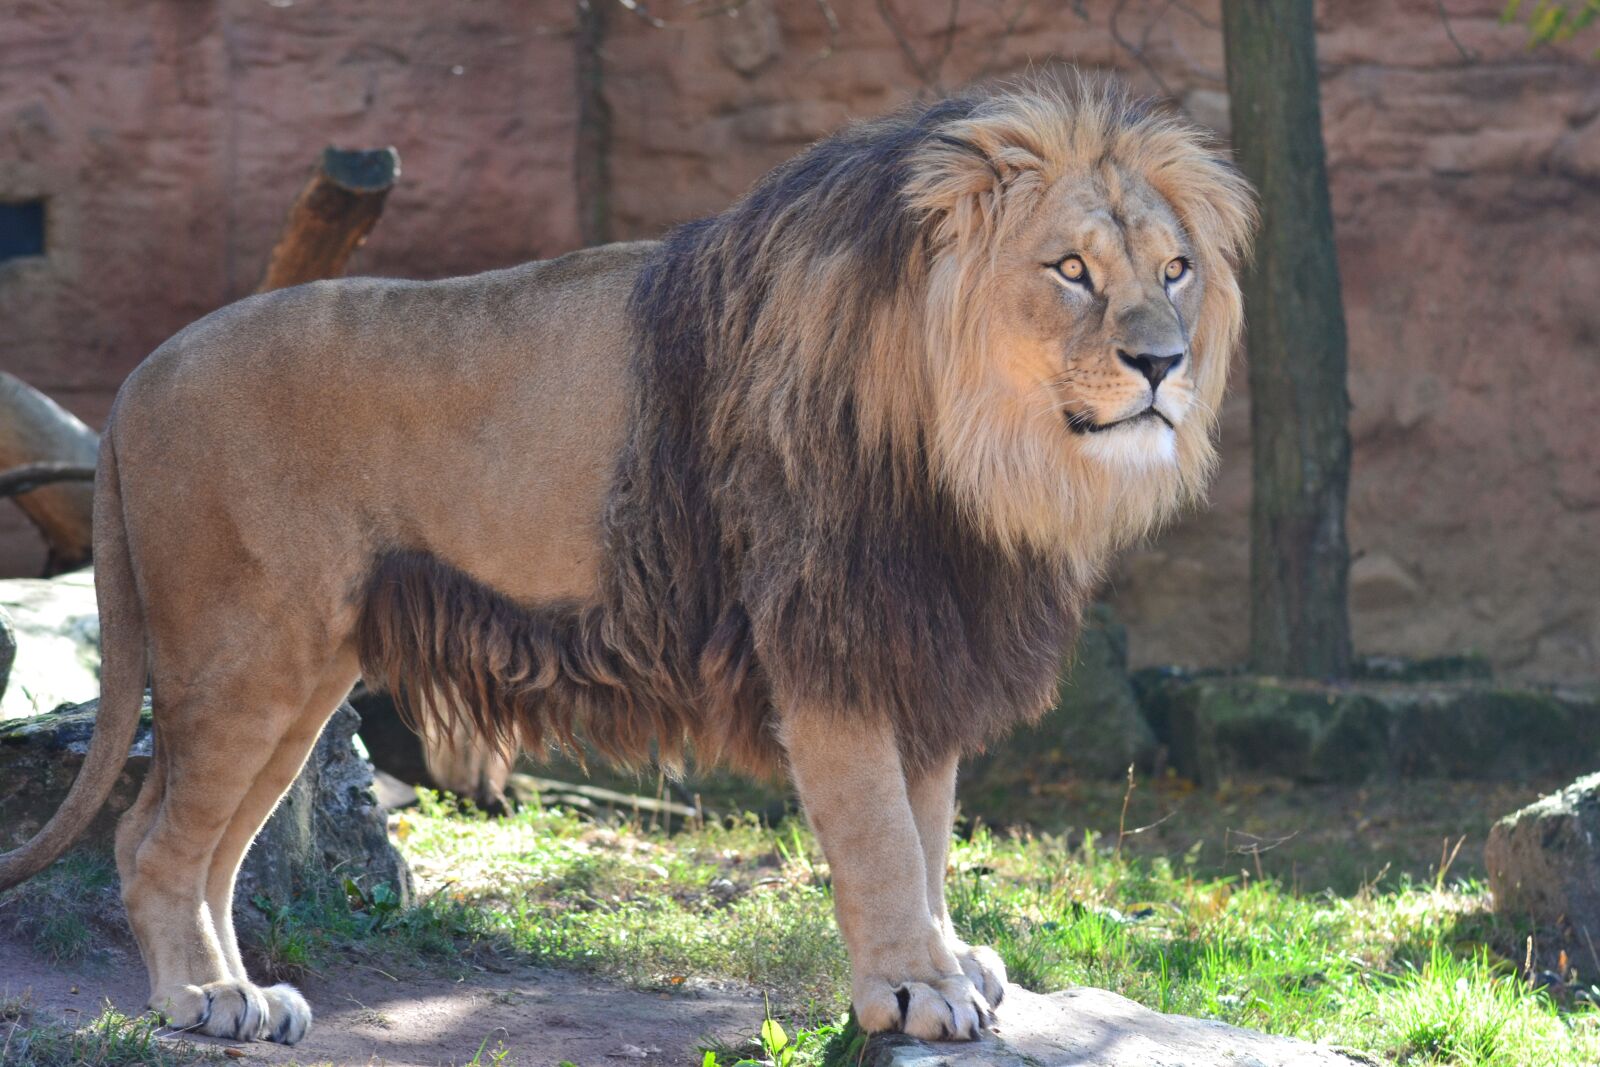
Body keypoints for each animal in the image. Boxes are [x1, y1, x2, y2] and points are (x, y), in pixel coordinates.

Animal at [0, 78, 1252, 1045]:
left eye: (1175, 268)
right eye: (1071, 270)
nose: (1162, 363)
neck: (981, 452)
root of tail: (140, 375)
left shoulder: (914, 631)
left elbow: (930, 823)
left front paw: (950, 960)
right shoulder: (827, 635)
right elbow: (883, 835)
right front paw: (913, 987)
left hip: (299, 673)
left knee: (205, 843)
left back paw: (243, 991)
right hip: (242, 653)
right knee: (152, 839)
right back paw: (202, 1000)